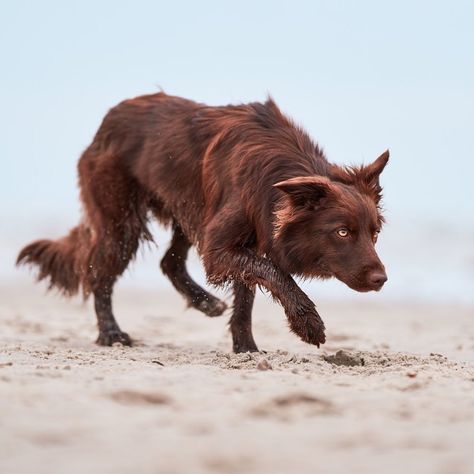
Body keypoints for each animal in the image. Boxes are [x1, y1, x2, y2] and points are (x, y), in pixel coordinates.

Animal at [18, 92, 388, 352]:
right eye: (342, 232)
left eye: (375, 234)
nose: (382, 280)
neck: (274, 175)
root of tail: (106, 123)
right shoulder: (221, 248)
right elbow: (276, 273)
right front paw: (308, 323)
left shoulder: (244, 243)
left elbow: (247, 297)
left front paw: (246, 348)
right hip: (122, 225)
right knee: (99, 274)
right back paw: (111, 333)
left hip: (189, 211)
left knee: (168, 263)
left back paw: (206, 303)